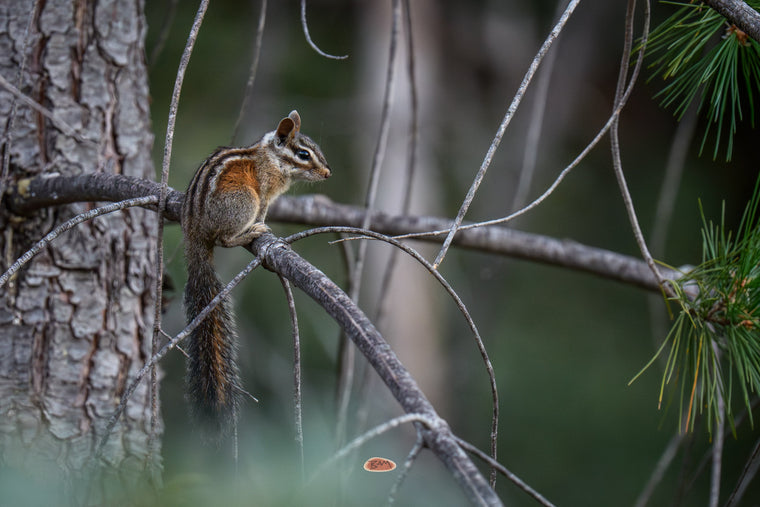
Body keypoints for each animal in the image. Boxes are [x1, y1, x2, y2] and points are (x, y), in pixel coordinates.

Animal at [181, 110, 331, 437]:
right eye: (304, 154)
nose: (328, 173)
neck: (271, 158)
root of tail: (194, 232)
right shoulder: (264, 192)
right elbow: (263, 208)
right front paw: (263, 224)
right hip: (243, 201)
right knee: (225, 239)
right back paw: (251, 231)